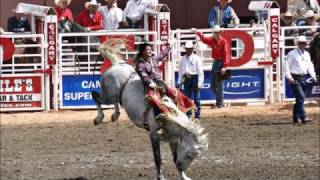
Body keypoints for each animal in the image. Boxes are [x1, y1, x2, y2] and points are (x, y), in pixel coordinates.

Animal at [91, 38, 209, 179]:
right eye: (190, 154)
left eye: (194, 156)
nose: (182, 166)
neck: (169, 114)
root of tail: (116, 65)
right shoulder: (153, 135)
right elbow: (158, 159)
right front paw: (160, 177)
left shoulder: (174, 139)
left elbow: (174, 157)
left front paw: (184, 176)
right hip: (107, 95)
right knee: (94, 95)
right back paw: (99, 118)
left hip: (114, 96)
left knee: (114, 101)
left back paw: (115, 114)